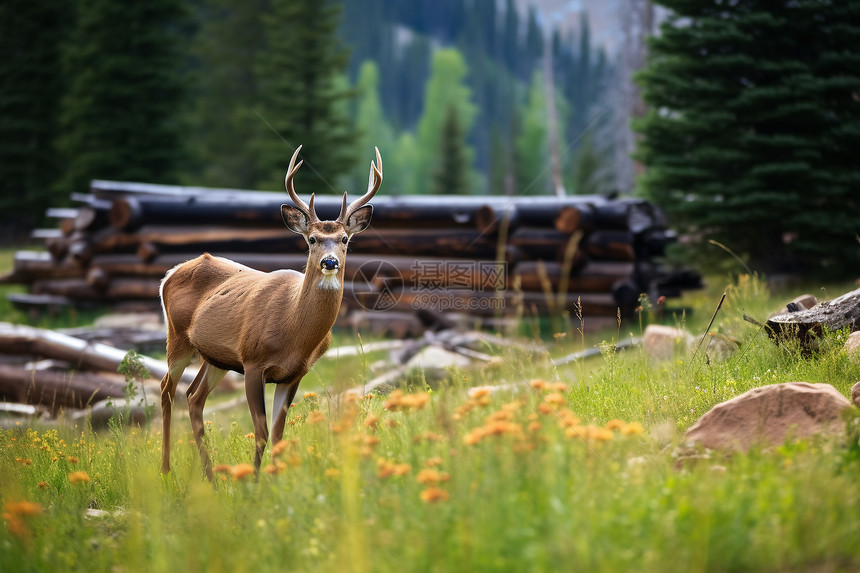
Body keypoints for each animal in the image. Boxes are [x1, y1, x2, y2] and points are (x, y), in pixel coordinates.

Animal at [160, 145, 382, 480]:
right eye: (312, 239)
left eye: (344, 239)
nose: (330, 262)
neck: (293, 332)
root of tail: (170, 273)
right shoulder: (253, 362)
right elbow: (262, 432)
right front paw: (253, 483)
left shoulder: (294, 374)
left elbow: (278, 434)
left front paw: (275, 482)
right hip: (177, 338)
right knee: (166, 391)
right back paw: (165, 470)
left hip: (216, 357)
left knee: (194, 397)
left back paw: (210, 478)